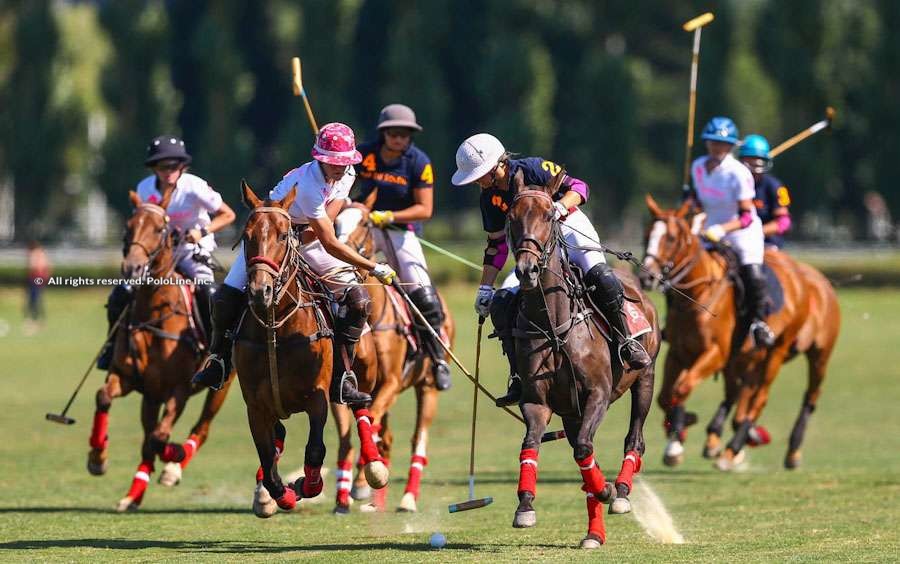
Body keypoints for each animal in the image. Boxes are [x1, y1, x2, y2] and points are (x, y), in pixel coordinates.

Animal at [86, 189, 234, 512]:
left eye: (158, 229)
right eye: (128, 227)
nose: (132, 268)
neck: (153, 313)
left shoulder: (179, 389)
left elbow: (160, 437)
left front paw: (174, 456)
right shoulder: (128, 378)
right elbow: (104, 397)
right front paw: (97, 459)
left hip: (221, 386)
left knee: (201, 428)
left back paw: (173, 468)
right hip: (151, 398)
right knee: (147, 440)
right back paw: (133, 495)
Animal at [234, 183, 384, 516]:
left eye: (282, 235)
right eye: (247, 236)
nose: (260, 292)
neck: (275, 328)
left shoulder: (317, 396)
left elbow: (316, 449)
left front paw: (306, 484)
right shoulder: (255, 406)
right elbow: (268, 458)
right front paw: (282, 494)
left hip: (363, 372)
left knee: (362, 406)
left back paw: (375, 466)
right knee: (279, 437)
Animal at [330, 208, 454, 516]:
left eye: (365, 222)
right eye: (335, 220)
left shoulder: (391, 382)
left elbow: (370, 426)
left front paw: (362, 482)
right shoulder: (348, 391)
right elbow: (348, 439)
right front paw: (344, 496)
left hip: (427, 388)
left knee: (417, 440)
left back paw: (407, 498)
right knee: (385, 437)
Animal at [506, 171, 660, 548]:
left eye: (549, 215)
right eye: (510, 218)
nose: (527, 270)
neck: (554, 326)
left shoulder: (598, 394)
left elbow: (584, 450)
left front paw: (607, 490)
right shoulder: (537, 402)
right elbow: (532, 445)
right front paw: (525, 506)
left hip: (645, 379)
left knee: (634, 438)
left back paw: (620, 492)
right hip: (572, 412)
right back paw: (594, 532)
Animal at [640, 196, 836, 470]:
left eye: (670, 238)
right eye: (647, 233)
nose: (645, 277)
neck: (697, 295)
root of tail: (811, 280)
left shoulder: (717, 353)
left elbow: (682, 388)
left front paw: (680, 436)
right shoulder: (678, 353)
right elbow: (666, 396)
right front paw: (680, 431)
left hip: (804, 353)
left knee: (785, 396)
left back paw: (763, 450)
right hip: (749, 357)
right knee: (740, 393)